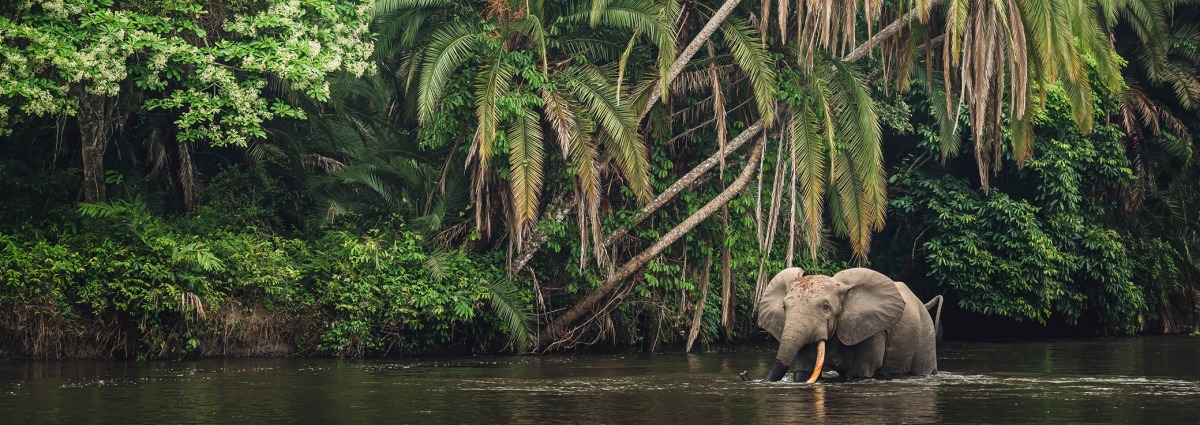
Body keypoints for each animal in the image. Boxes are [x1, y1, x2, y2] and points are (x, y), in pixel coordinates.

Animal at [753, 265, 940, 381]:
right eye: (784, 307)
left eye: (826, 307)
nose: (746, 374)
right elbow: (803, 372)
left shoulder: (872, 329)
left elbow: (860, 373)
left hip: (926, 335)